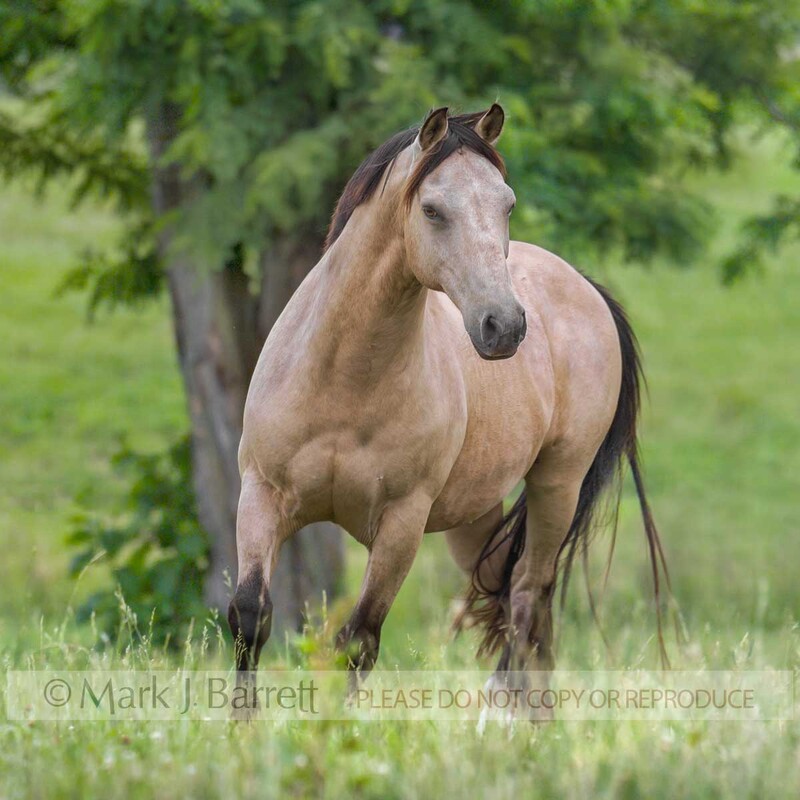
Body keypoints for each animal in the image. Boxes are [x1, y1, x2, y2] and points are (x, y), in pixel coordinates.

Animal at [228, 105, 668, 706]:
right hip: (475, 515)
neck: (344, 379)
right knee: (520, 611)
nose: (504, 325)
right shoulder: (262, 495)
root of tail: (585, 288)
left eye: (508, 203)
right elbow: (251, 618)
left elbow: (358, 641)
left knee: (527, 600)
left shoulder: (401, 524)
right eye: (432, 209)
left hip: (558, 485)